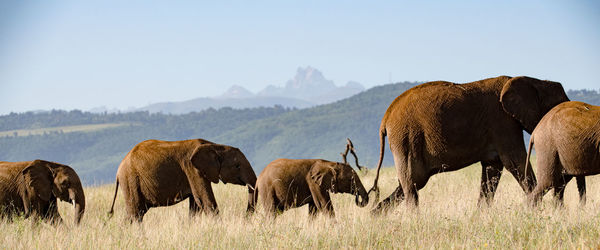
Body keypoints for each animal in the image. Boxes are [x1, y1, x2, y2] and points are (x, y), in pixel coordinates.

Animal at [108, 139, 255, 223]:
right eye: (237, 166)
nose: (245, 217)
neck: (215, 146)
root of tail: (118, 171)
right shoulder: (192, 169)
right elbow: (206, 201)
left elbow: (196, 205)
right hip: (130, 180)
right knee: (135, 213)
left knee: (135, 213)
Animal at [368, 75, 568, 212]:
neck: (535, 80)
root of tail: (386, 117)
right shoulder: (503, 122)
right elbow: (514, 162)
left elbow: (492, 170)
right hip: (406, 138)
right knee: (412, 184)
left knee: (408, 185)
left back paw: (374, 216)